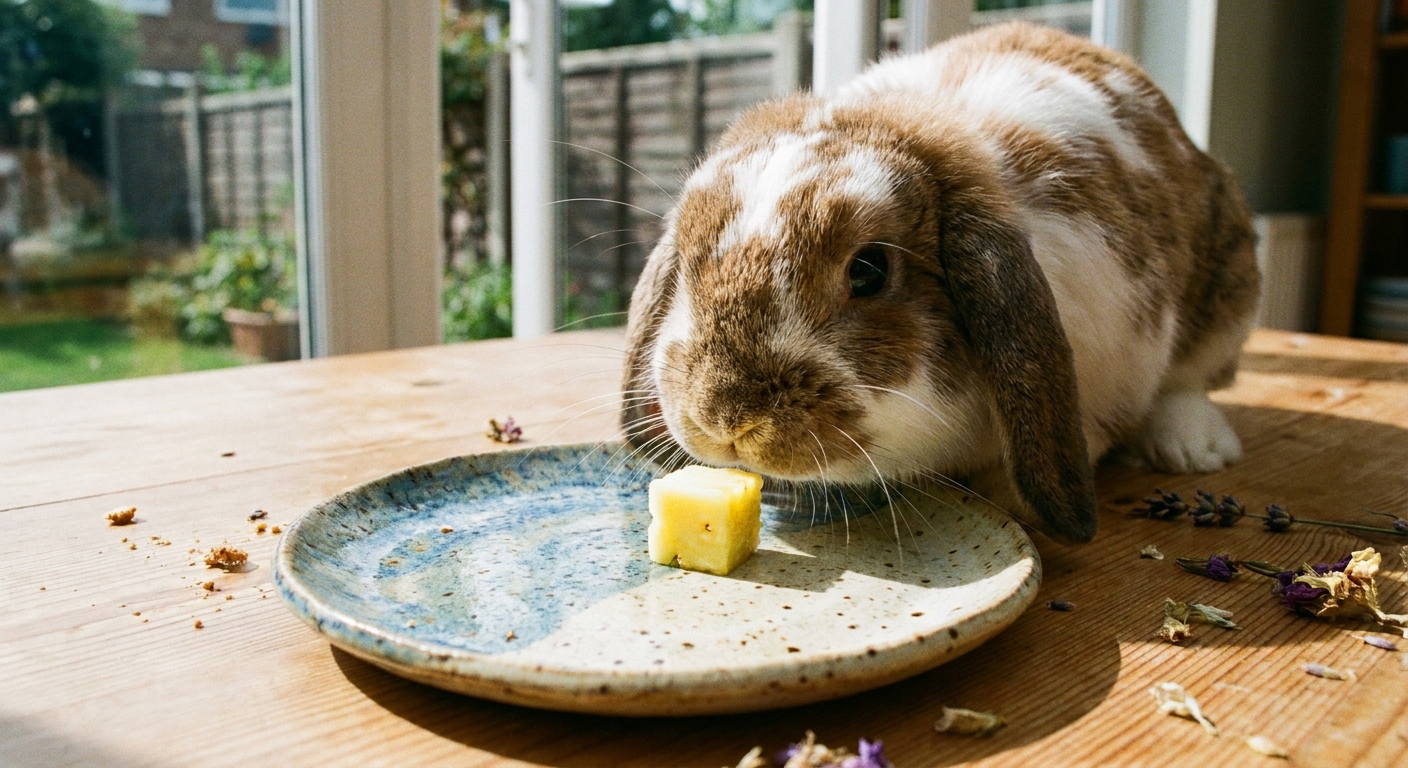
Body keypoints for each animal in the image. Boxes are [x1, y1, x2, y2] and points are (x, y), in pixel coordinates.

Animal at [619, 21, 1259, 543]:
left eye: (869, 269)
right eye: (687, 260)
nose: (726, 419)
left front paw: (1006, 501)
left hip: (1230, 289)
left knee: (1190, 379)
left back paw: (1195, 448)